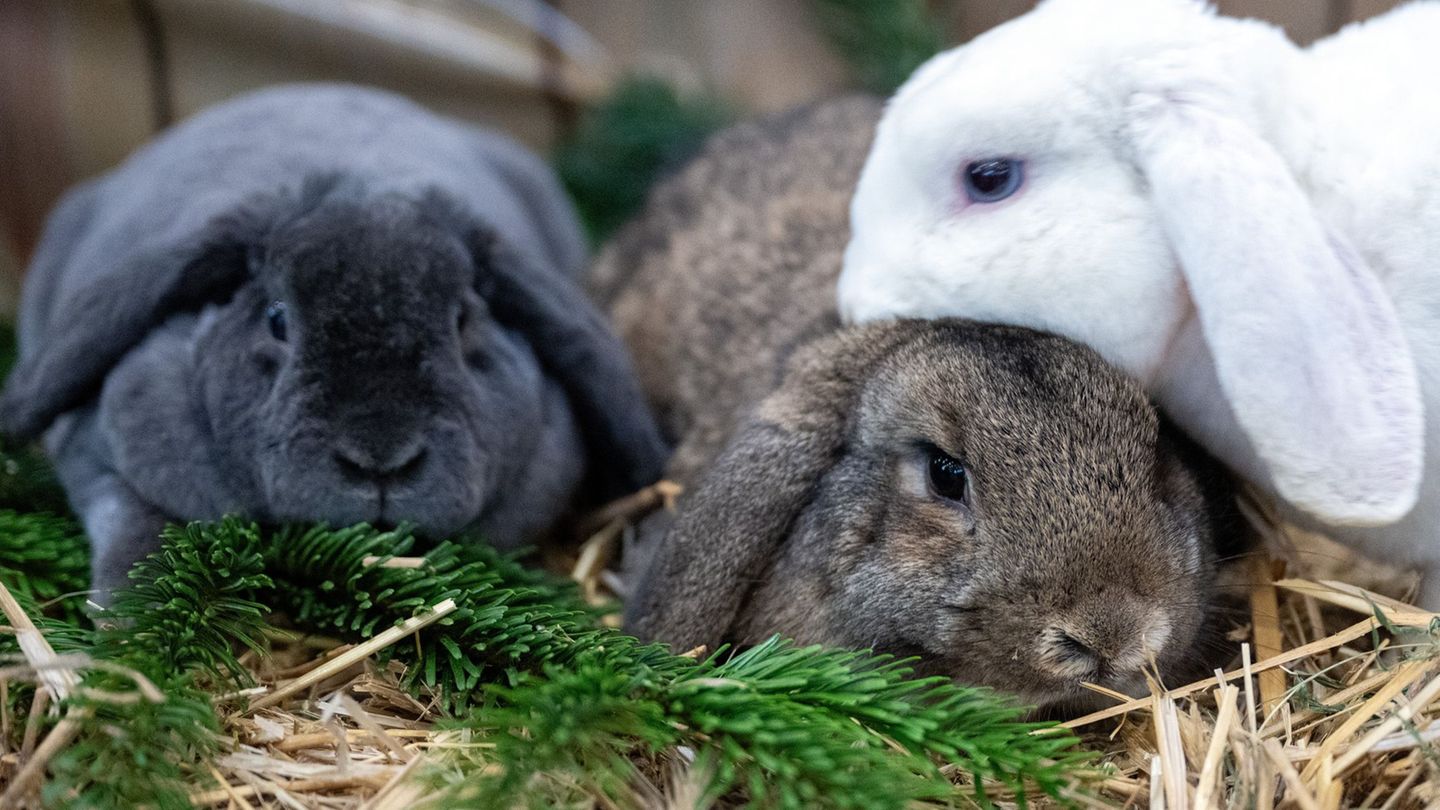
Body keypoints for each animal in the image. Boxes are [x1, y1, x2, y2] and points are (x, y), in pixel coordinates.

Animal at [0, 84, 667, 601]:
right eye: (276, 320)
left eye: (463, 322)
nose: (381, 460)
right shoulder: (105, 463)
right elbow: (139, 536)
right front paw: (124, 630)